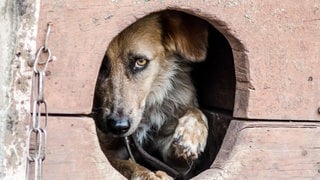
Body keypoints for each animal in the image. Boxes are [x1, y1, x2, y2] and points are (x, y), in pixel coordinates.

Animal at [91, 10, 209, 180]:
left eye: (140, 62)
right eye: (101, 65)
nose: (118, 126)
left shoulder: (179, 167)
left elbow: (196, 111)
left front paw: (192, 134)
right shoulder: (106, 151)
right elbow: (125, 164)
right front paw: (147, 174)